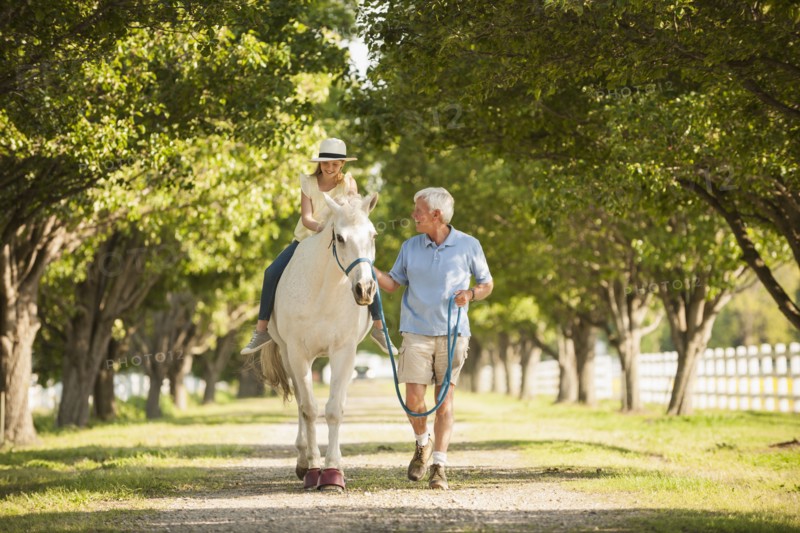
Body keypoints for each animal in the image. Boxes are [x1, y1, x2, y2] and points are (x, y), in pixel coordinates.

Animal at [259, 192, 379, 492]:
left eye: (373, 235)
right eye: (340, 238)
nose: (364, 289)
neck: (325, 291)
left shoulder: (344, 353)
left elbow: (334, 410)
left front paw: (333, 473)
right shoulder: (298, 354)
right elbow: (310, 409)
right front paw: (314, 469)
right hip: (290, 357)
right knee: (302, 404)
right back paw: (303, 462)